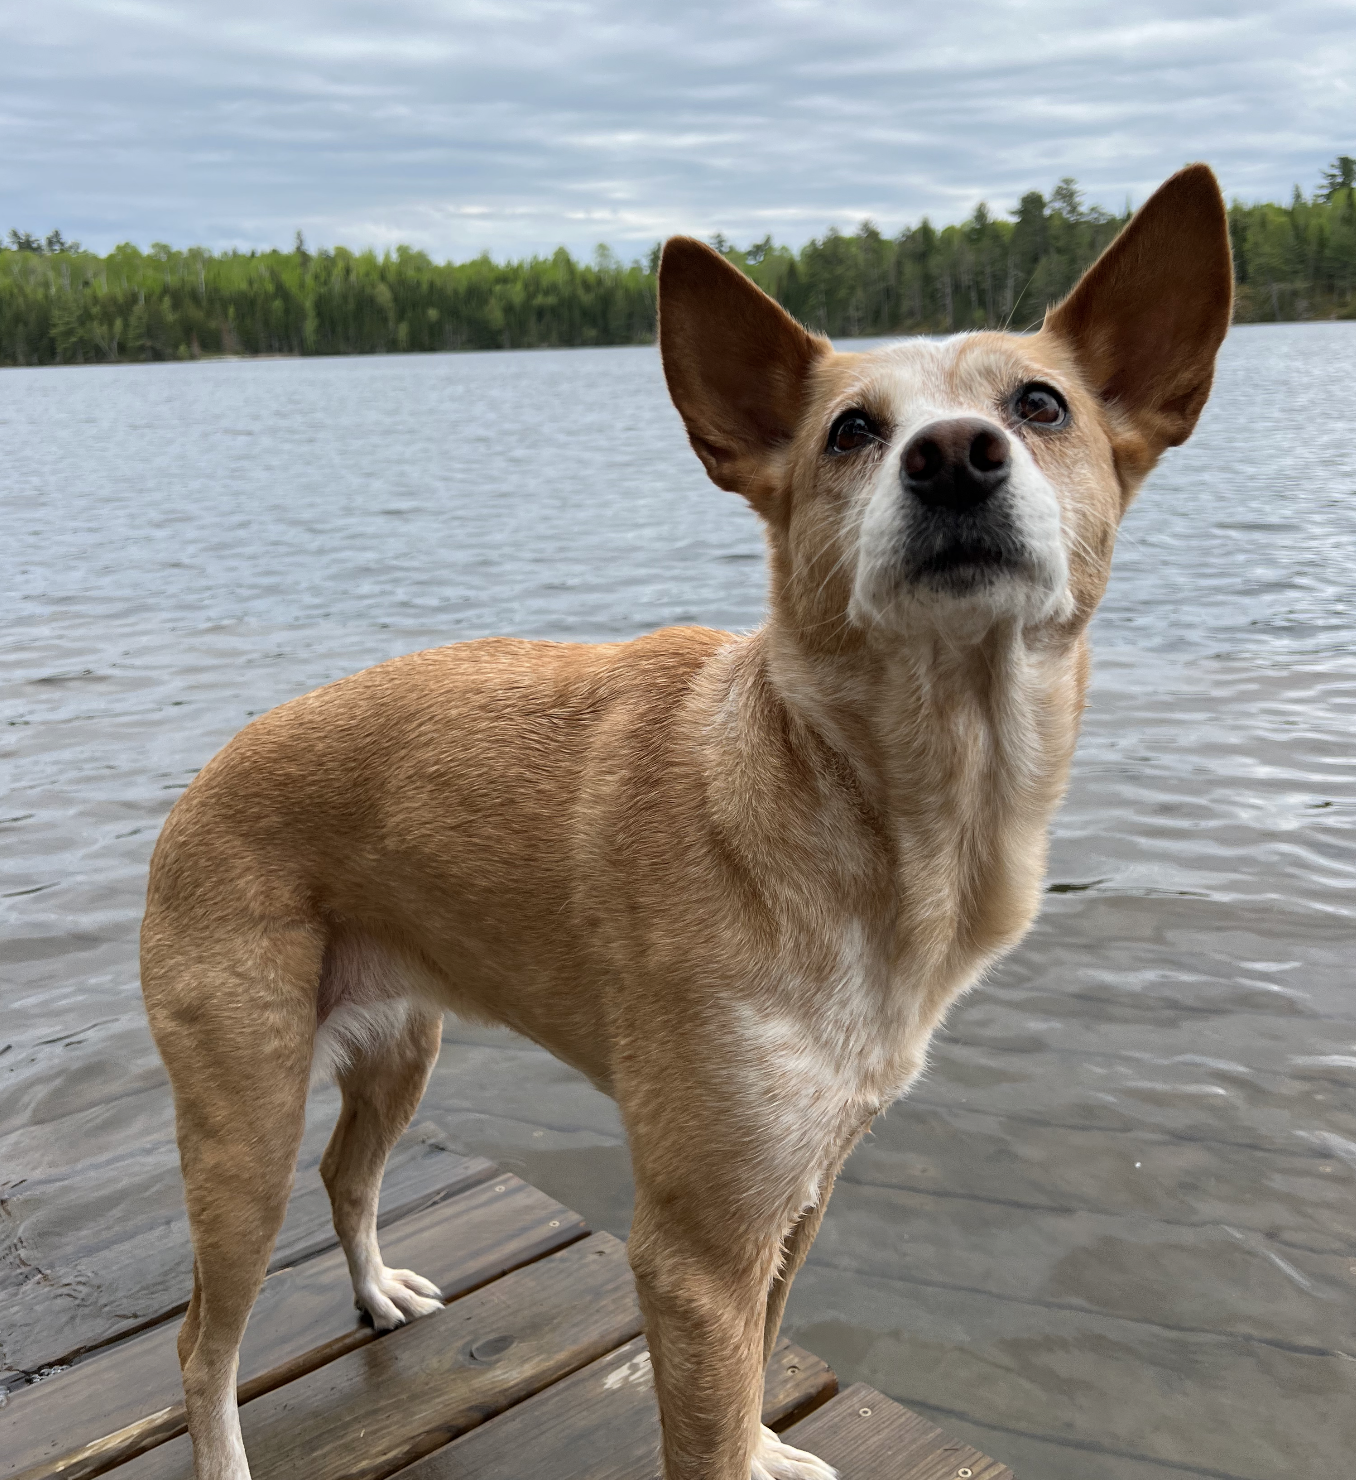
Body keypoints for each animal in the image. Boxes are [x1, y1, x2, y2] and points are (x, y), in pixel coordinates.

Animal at [142, 165, 1231, 1480]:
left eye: (1040, 405)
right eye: (850, 431)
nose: (957, 457)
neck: (875, 804)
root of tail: (202, 777)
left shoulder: (800, 1189)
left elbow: (758, 1358)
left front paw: (765, 1445)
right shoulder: (694, 1249)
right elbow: (705, 1419)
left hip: (401, 1048)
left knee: (348, 1178)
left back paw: (375, 1287)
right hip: (242, 1123)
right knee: (202, 1338)